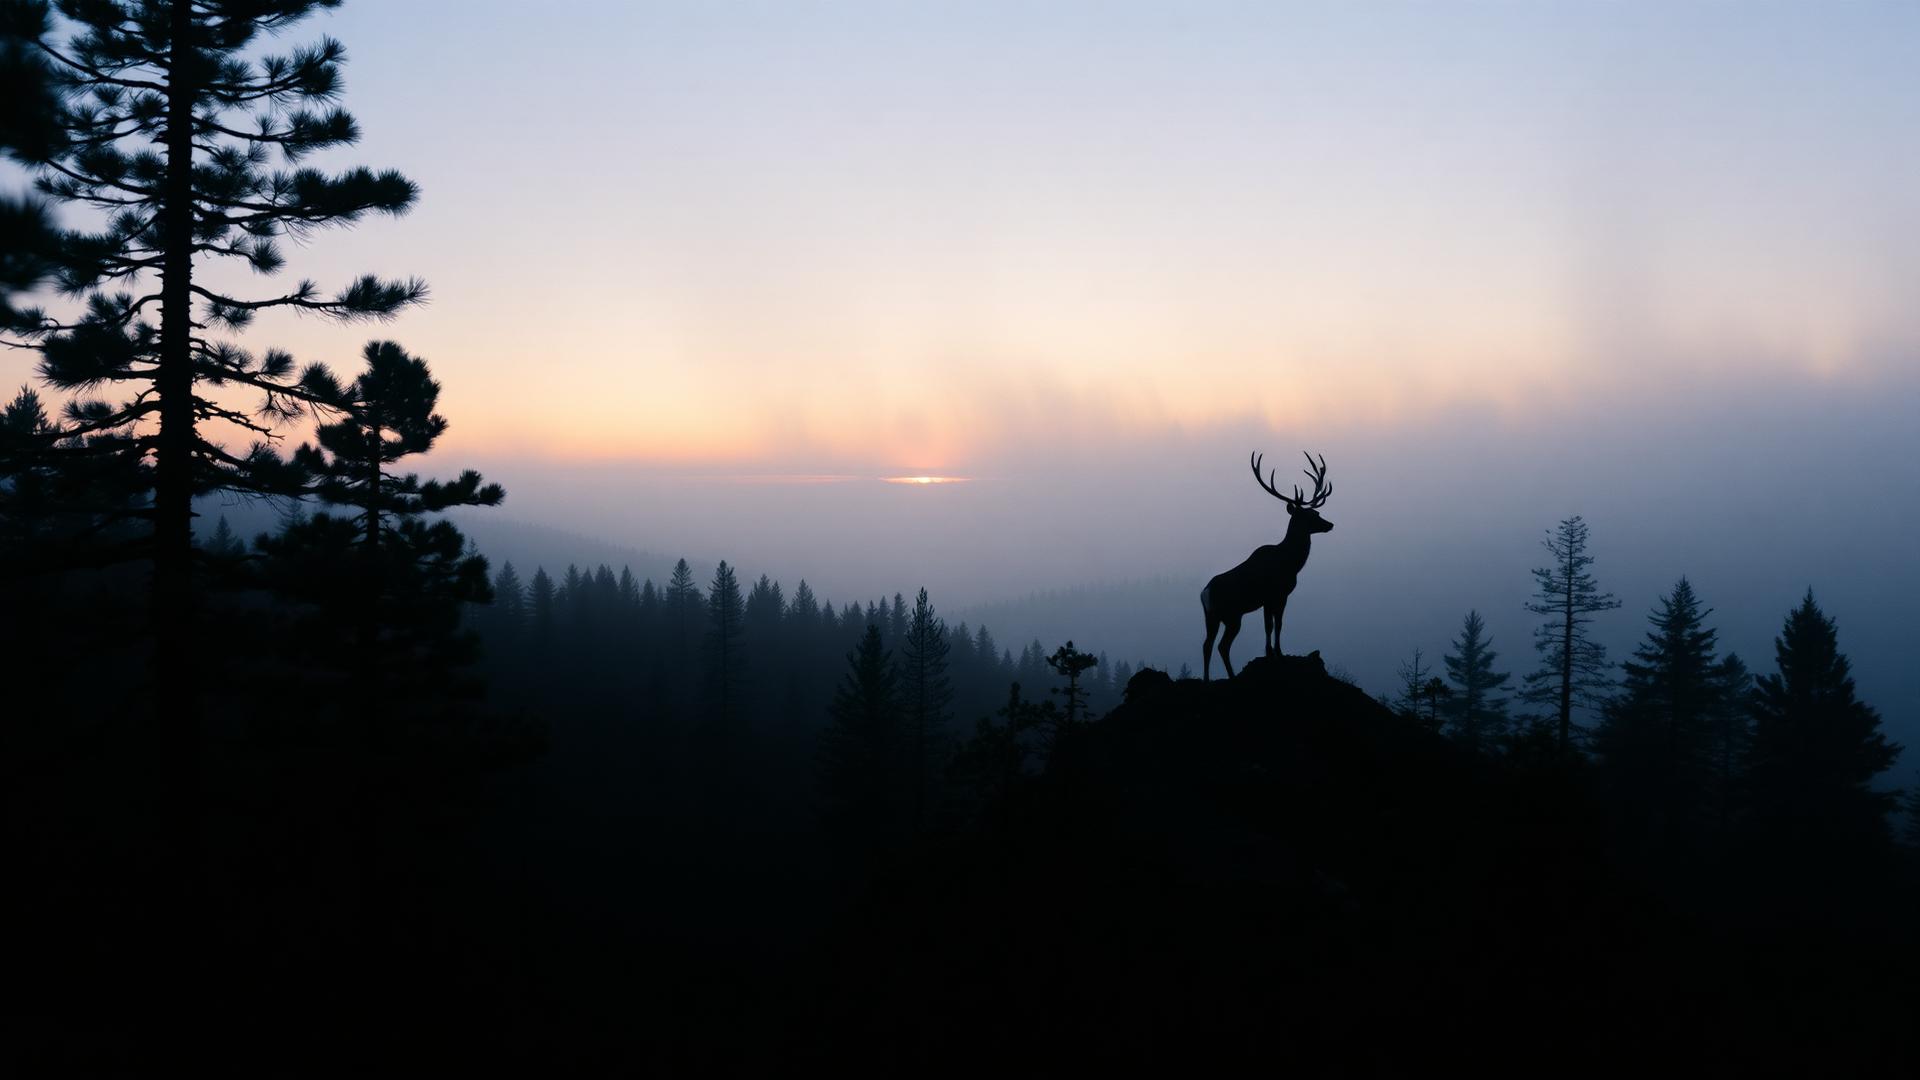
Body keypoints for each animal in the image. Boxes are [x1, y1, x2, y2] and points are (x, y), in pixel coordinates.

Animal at [1201, 451, 1334, 680]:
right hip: (1232, 615)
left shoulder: (1268, 600)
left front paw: (1270, 652)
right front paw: (1276, 653)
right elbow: (1275, 624)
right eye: (1309, 515)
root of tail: (1205, 592)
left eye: (1316, 513)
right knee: (1221, 646)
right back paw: (1230, 676)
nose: (1330, 524)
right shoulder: (1277, 594)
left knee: (1208, 645)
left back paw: (1211, 678)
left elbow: (1268, 625)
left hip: (1213, 616)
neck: (1290, 563)